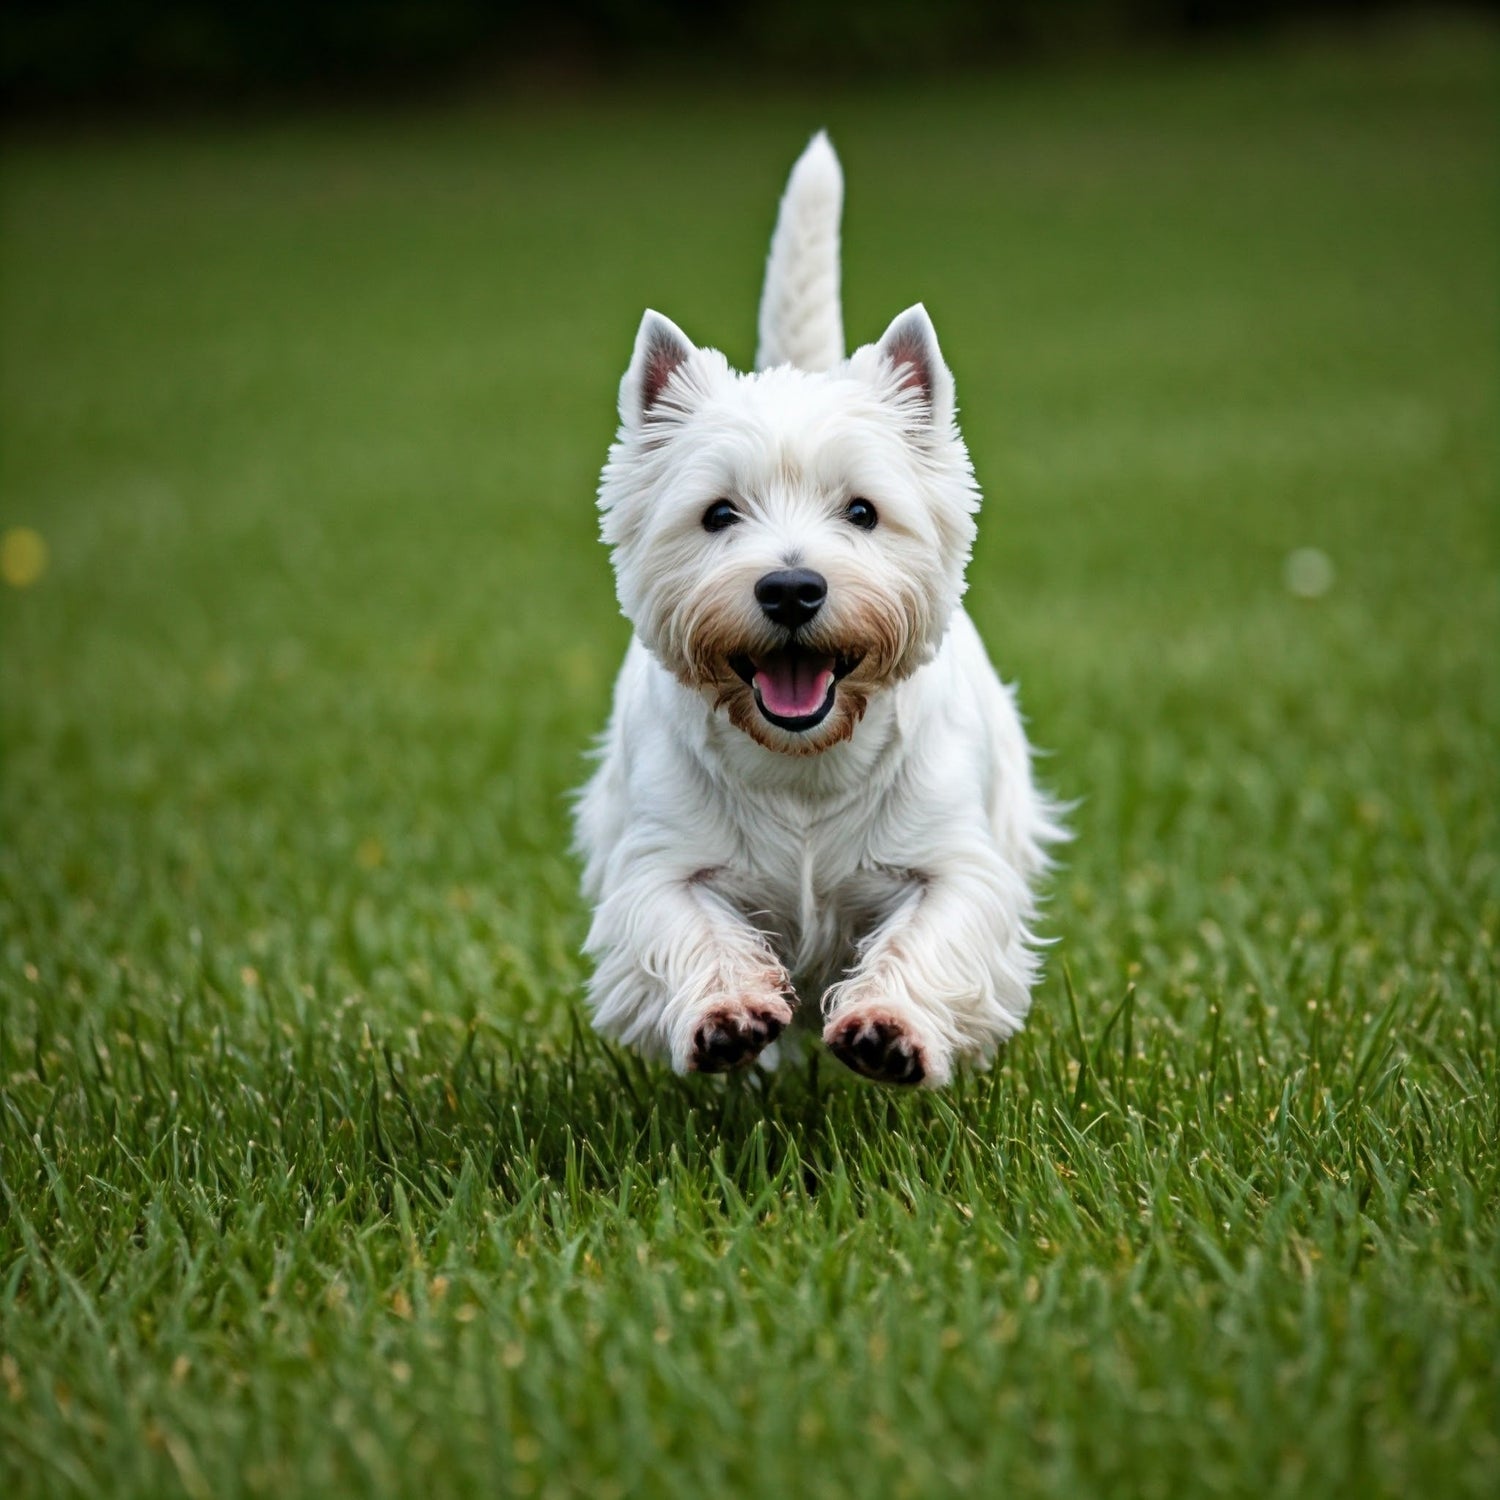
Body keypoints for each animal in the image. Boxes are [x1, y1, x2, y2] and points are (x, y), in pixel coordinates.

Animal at [573, 132, 1068, 1092]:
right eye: (718, 513)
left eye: (863, 511)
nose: (792, 589)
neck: (802, 766)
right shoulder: (660, 863)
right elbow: (684, 931)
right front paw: (728, 1019)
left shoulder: (953, 860)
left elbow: (934, 935)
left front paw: (888, 1030)